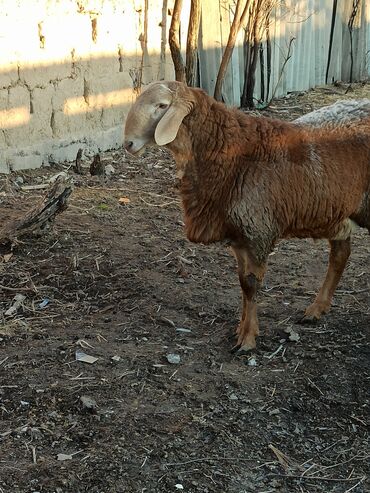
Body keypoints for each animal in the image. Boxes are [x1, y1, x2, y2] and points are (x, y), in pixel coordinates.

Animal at [124, 80, 370, 350]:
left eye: (161, 105)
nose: (128, 144)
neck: (230, 149)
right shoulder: (240, 235)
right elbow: (242, 283)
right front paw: (241, 329)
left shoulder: (258, 230)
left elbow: (251, 285)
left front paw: (248, 339)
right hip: (339, 212)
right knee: (340, 255)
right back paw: (317, 308)